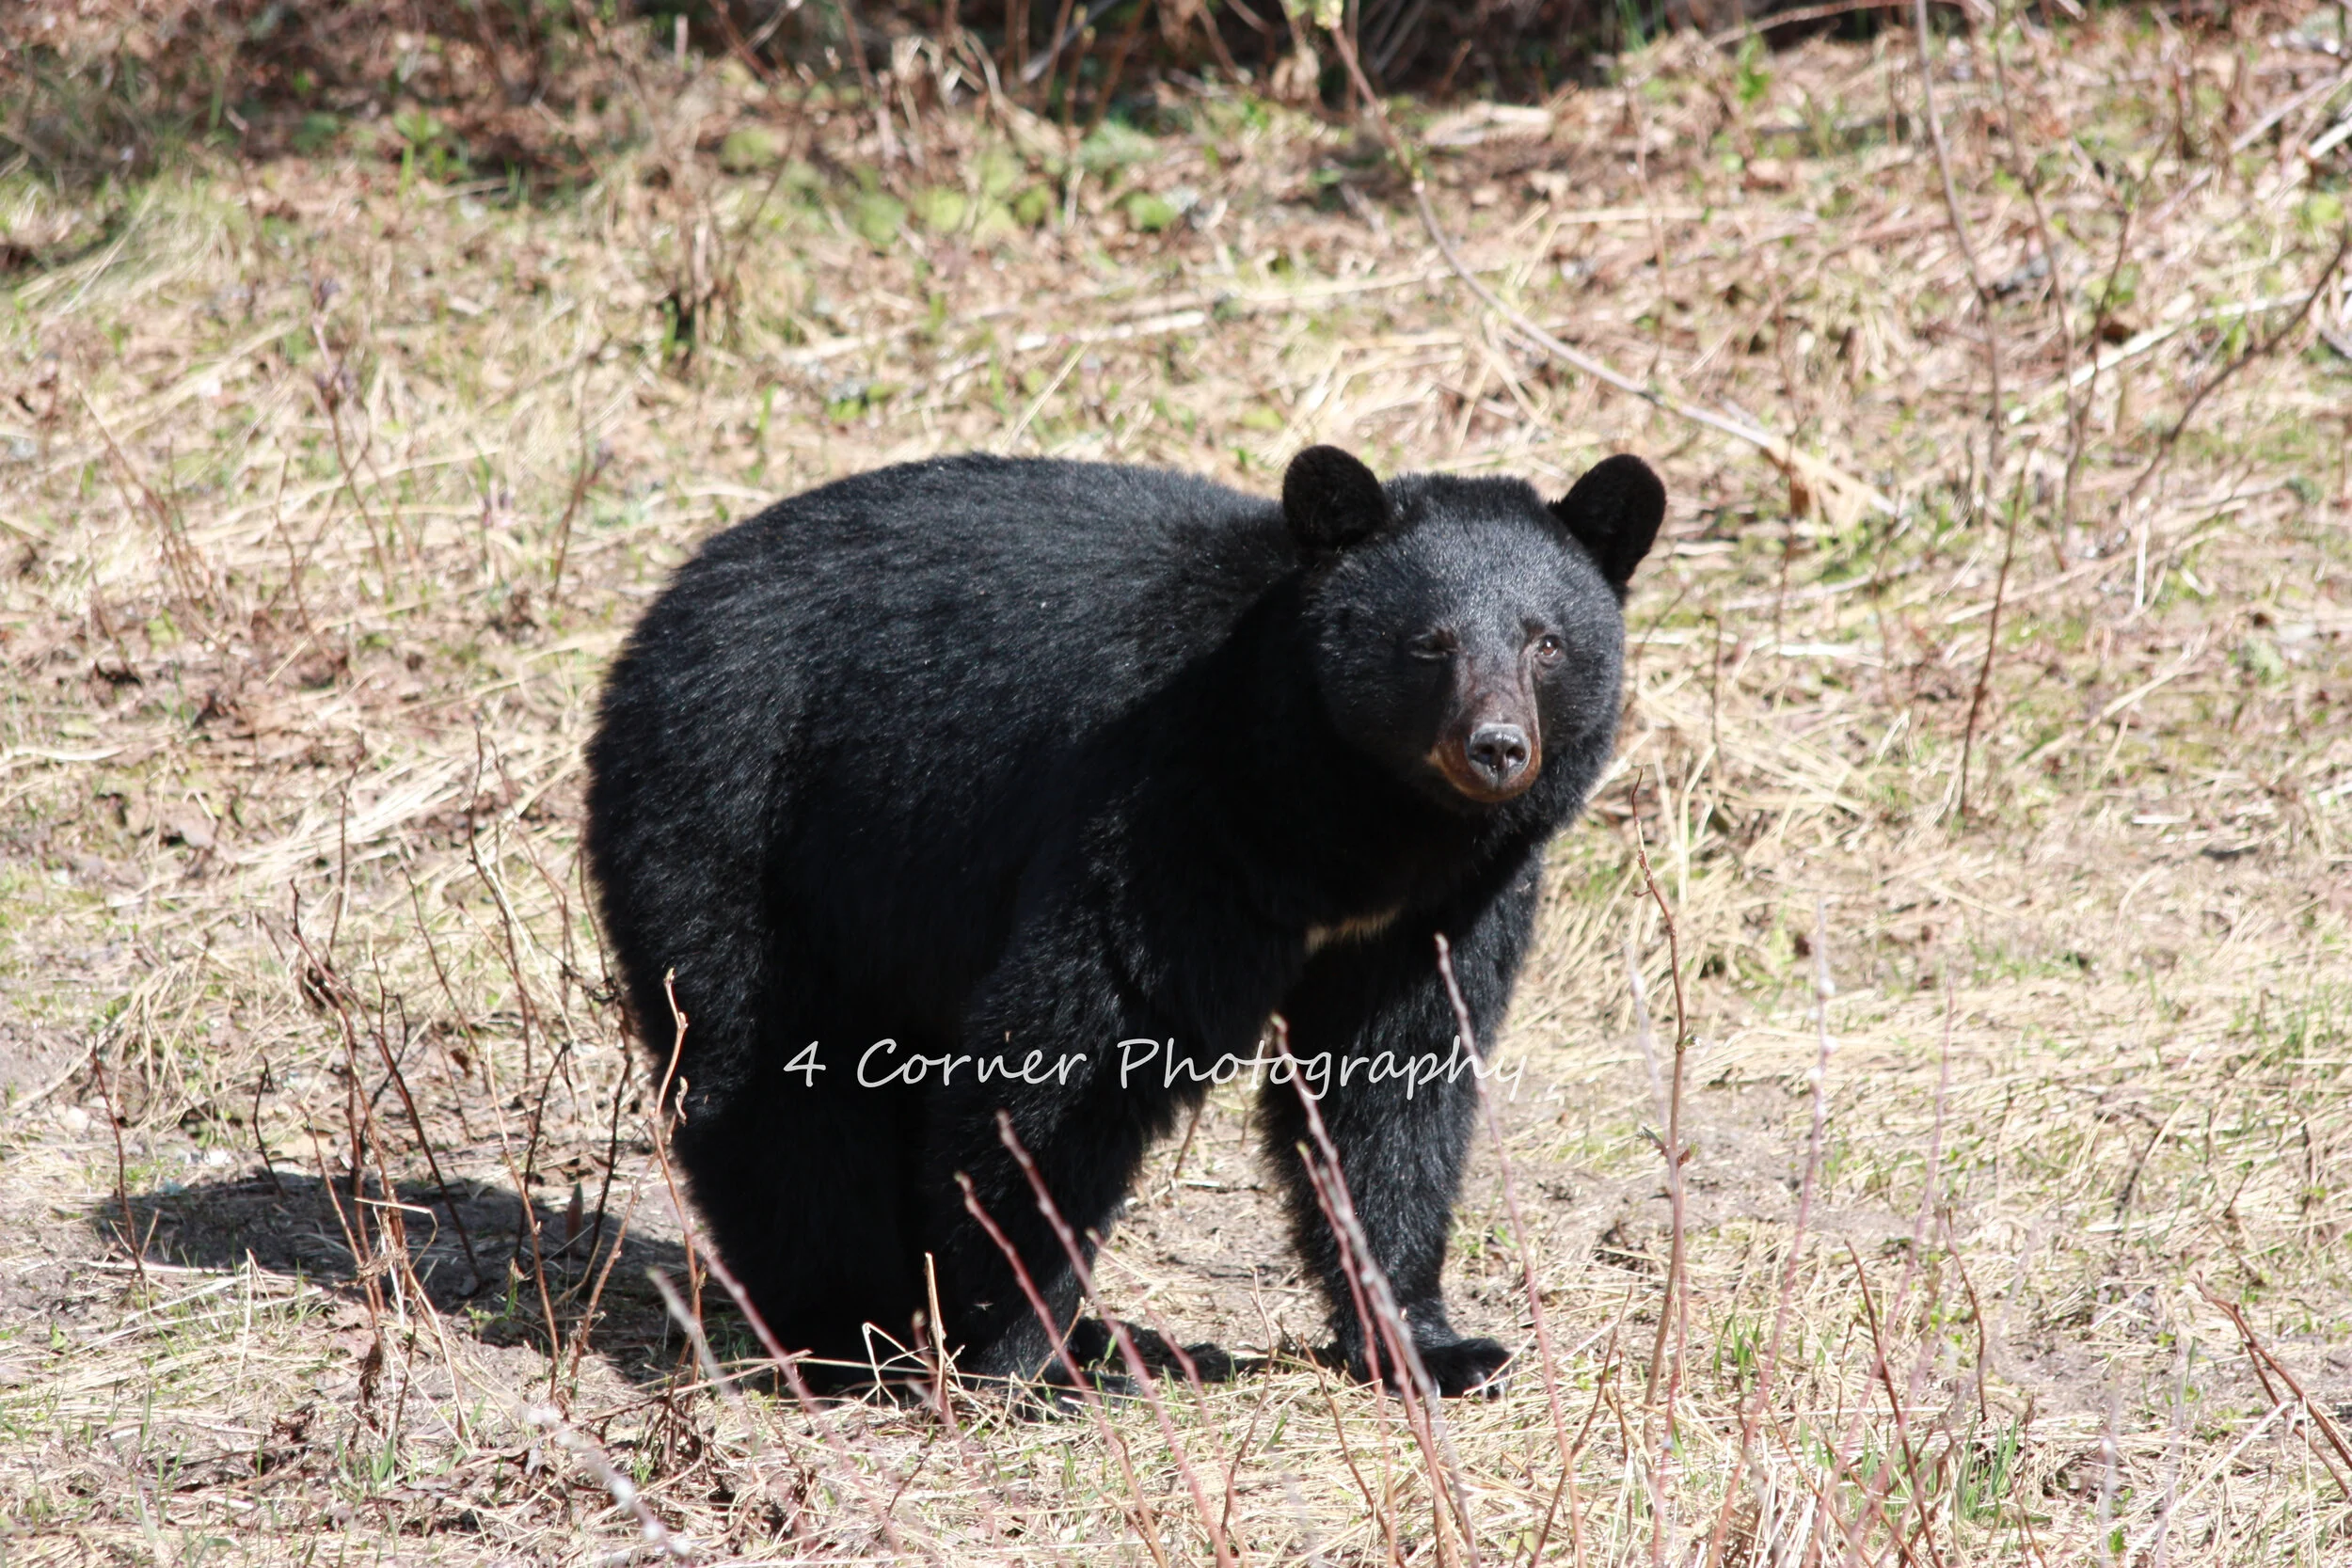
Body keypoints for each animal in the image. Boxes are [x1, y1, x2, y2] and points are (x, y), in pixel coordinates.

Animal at [583, 443, 1664, 1397]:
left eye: (1546, 641)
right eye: (1429, 645)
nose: (1496, 746)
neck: (1359, 820)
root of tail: (666, 602)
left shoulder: (1437, 908)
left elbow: (1391, 1085)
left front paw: (1435, 1346)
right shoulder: (1173, 813)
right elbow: (1075, 1051)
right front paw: (1030, 1359)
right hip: (737, 812)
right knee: (771, 1076)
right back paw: (853, 1330)